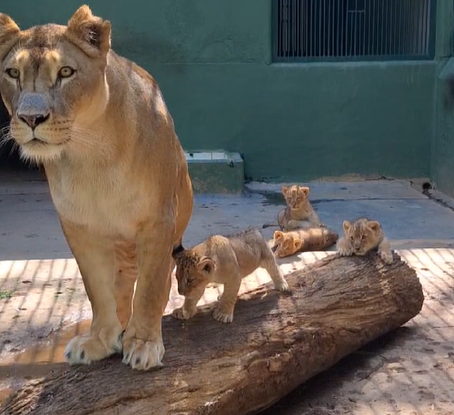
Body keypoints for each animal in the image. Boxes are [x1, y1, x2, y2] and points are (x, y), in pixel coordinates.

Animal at [0, 5, 193, 370]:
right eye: (13, 73)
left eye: (65, 72)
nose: (31, 118)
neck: (90, 152)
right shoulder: (80, 227)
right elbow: (98, 288)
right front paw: (101, 339)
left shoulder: (157, 221)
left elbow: (150, 288)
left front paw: (144, 343)